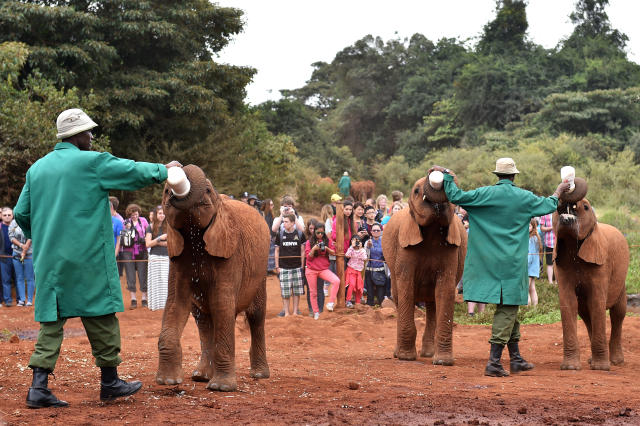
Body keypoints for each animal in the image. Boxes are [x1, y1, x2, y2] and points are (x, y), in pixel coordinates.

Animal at [158, 165, 272, 392]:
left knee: (256, 316)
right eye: (166, 192)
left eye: (208, 191)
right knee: (203, 320)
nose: (175, 167)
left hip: (261, 270)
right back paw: (200, 376)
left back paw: (259, 375)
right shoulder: (177, 255)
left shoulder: (231, 254)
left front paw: (221, 387)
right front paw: (167, 381)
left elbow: (222, 303)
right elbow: (175, 303)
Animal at [380, 175, 464, 364]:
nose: (440, 171)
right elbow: (406, 288)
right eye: (416, 191)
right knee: (398, 297)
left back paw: (428, 354)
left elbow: (445, 289)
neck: (432, 230)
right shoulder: (404, 247)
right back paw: (399, 353)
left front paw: (443, 362)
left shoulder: (451, 249)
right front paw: (406, 358)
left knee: (433, 304)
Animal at [552, 196, 628, 370]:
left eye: (586, 207)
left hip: (621, 280)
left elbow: (597, 302)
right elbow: (568, 302)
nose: (565, 202)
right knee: (586, 314)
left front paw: (601, 368)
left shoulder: (602, 264)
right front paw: (570, 368)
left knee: (618, 312)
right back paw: (593, 360)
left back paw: (616, 361)